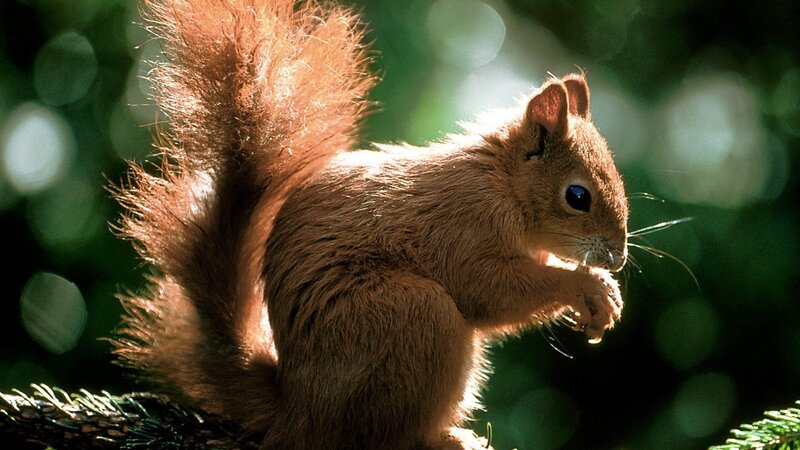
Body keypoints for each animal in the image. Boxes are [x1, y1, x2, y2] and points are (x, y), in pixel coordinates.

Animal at [112, 0, 628, 449]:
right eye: (577, 196)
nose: (619, 258)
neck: (502, 184)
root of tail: (299, 411)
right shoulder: (463, 226)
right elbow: (488, 290)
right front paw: (589, 288)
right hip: (410, 317)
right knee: (382, 436)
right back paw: (445, 440)